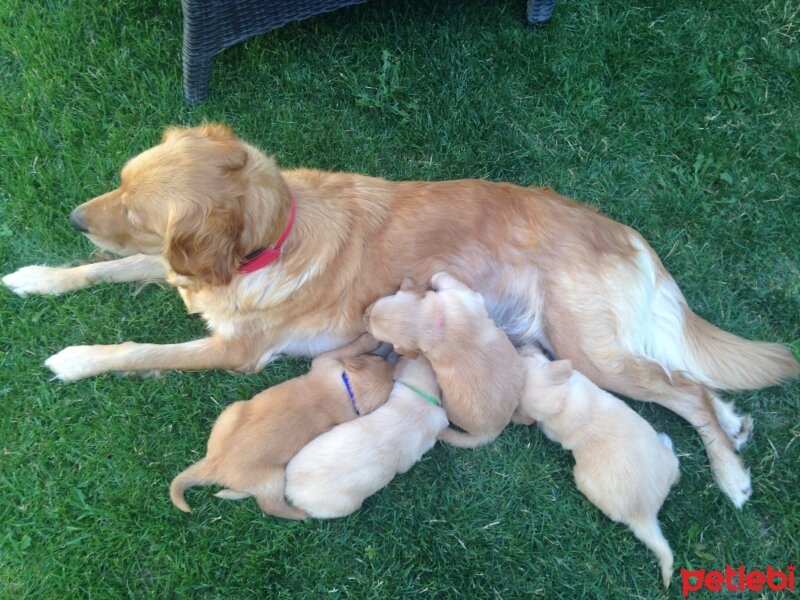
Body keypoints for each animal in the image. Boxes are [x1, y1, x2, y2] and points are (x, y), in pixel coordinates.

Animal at [170, 338, 392, 520]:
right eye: (375, 358)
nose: (390, 360)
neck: (349, 393)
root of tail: (214, 464)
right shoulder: (325, 362)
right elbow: (351, 347)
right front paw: (370, 337)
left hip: (268, 470)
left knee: (269, 505)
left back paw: (300, 514)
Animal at [366, 272, 528, 446]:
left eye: (376, 304)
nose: (364, 315)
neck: (430, 324)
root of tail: (492, 432)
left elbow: (439, 277)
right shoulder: (468, 296)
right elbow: (440, 277)